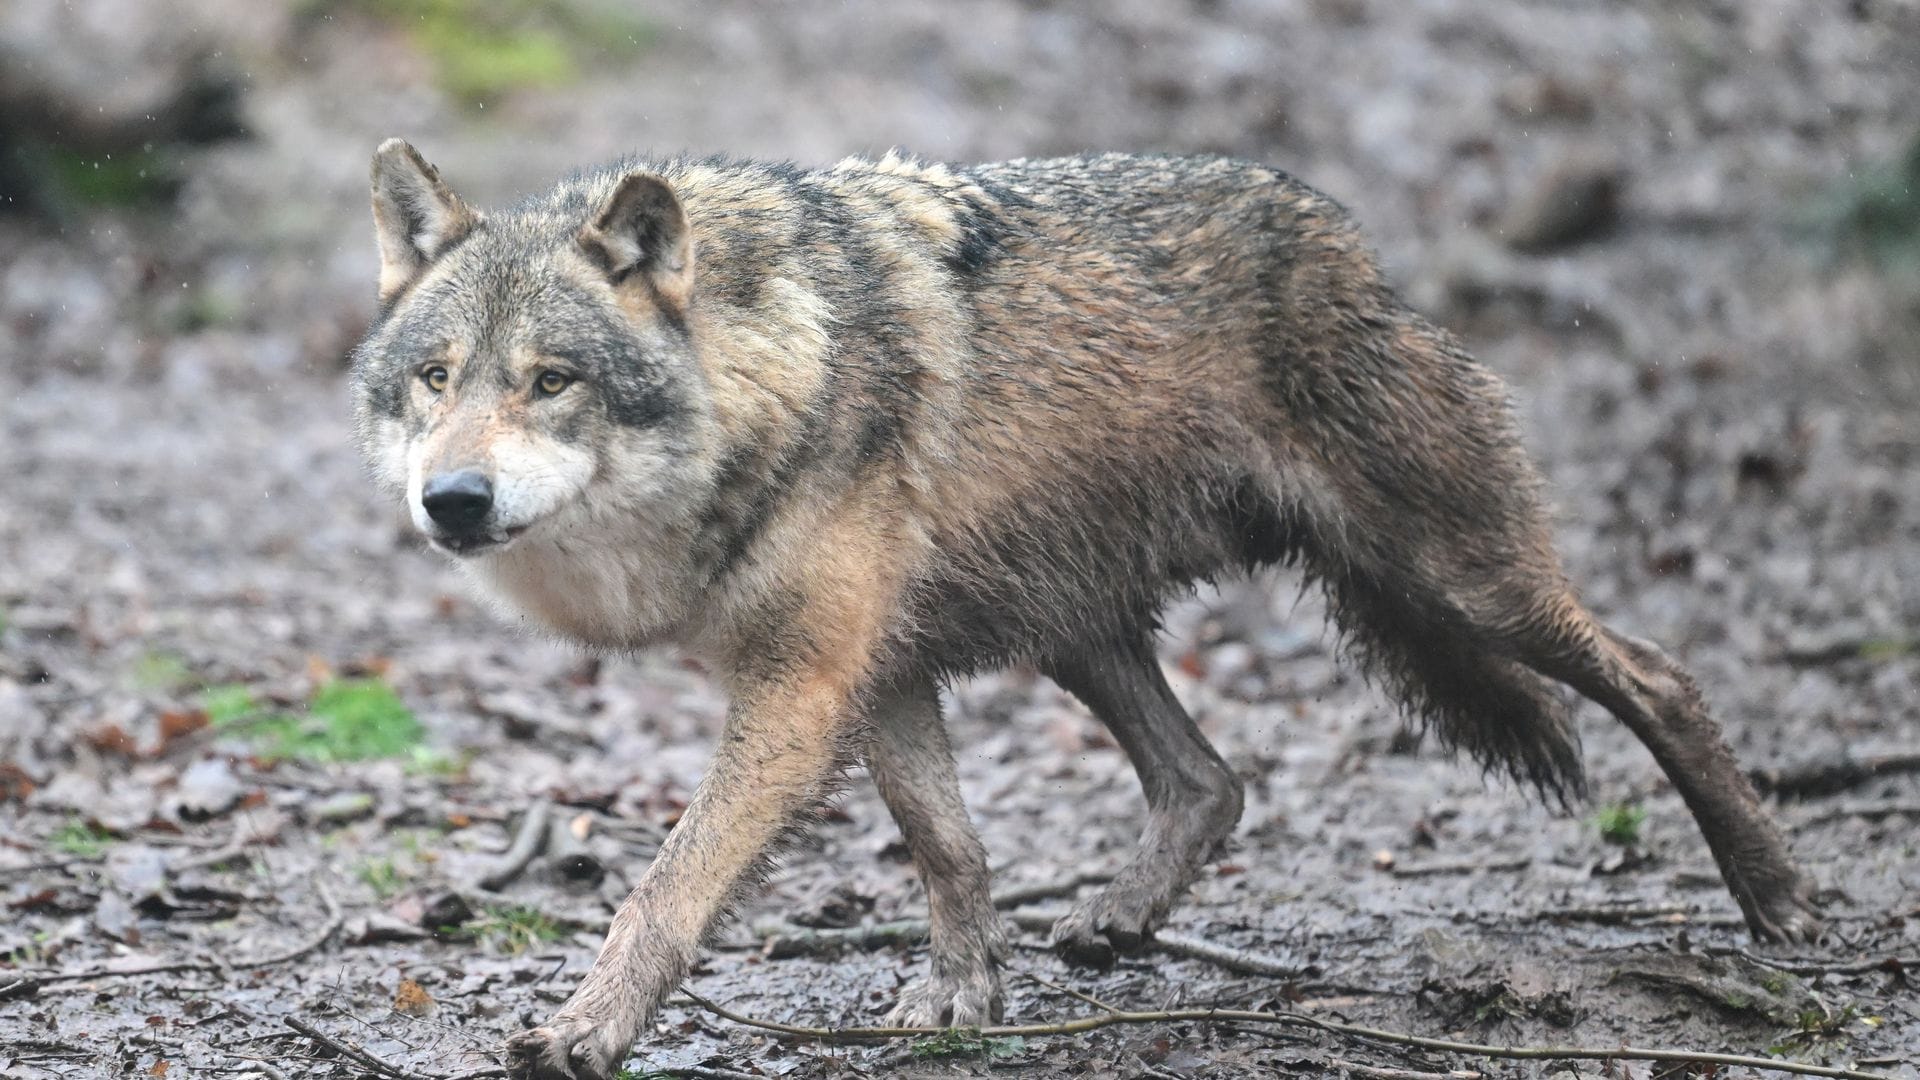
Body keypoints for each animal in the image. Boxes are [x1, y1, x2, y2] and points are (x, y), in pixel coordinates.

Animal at [350, 139, 1821, 1079]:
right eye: (435, 377)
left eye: (550, 381)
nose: (453, 501)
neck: (769, 376)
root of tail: (1353, 244)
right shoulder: (878, 673)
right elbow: (948, 847)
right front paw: (962, 997)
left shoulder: (804, 685)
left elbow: (665, 889)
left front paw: (585, 1031)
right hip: (1078, 628)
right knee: (1212, 778)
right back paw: (1119, 918)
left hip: (1461, 582)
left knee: (1660, 675)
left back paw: (1778, 903)